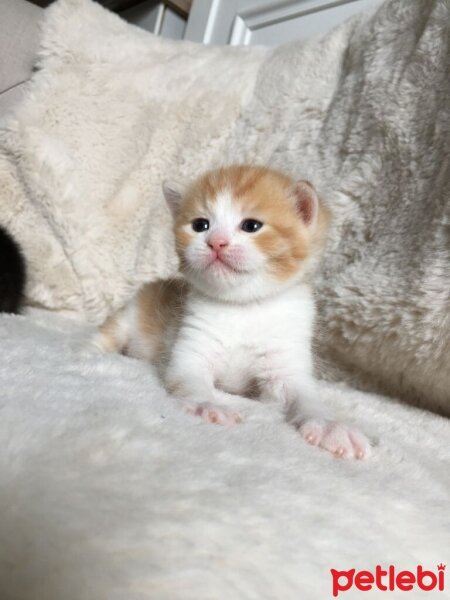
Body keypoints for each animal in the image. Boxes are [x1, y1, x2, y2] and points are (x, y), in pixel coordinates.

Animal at [94, 165, 370, 460]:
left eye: (251, 226)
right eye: (200, 225)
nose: (216, 242)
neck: (243, 307)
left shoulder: (286, 363)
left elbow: (306, 398)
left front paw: (332, 427)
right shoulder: (191, 347)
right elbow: (190, 380)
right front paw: (207, 405)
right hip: (131, 313)